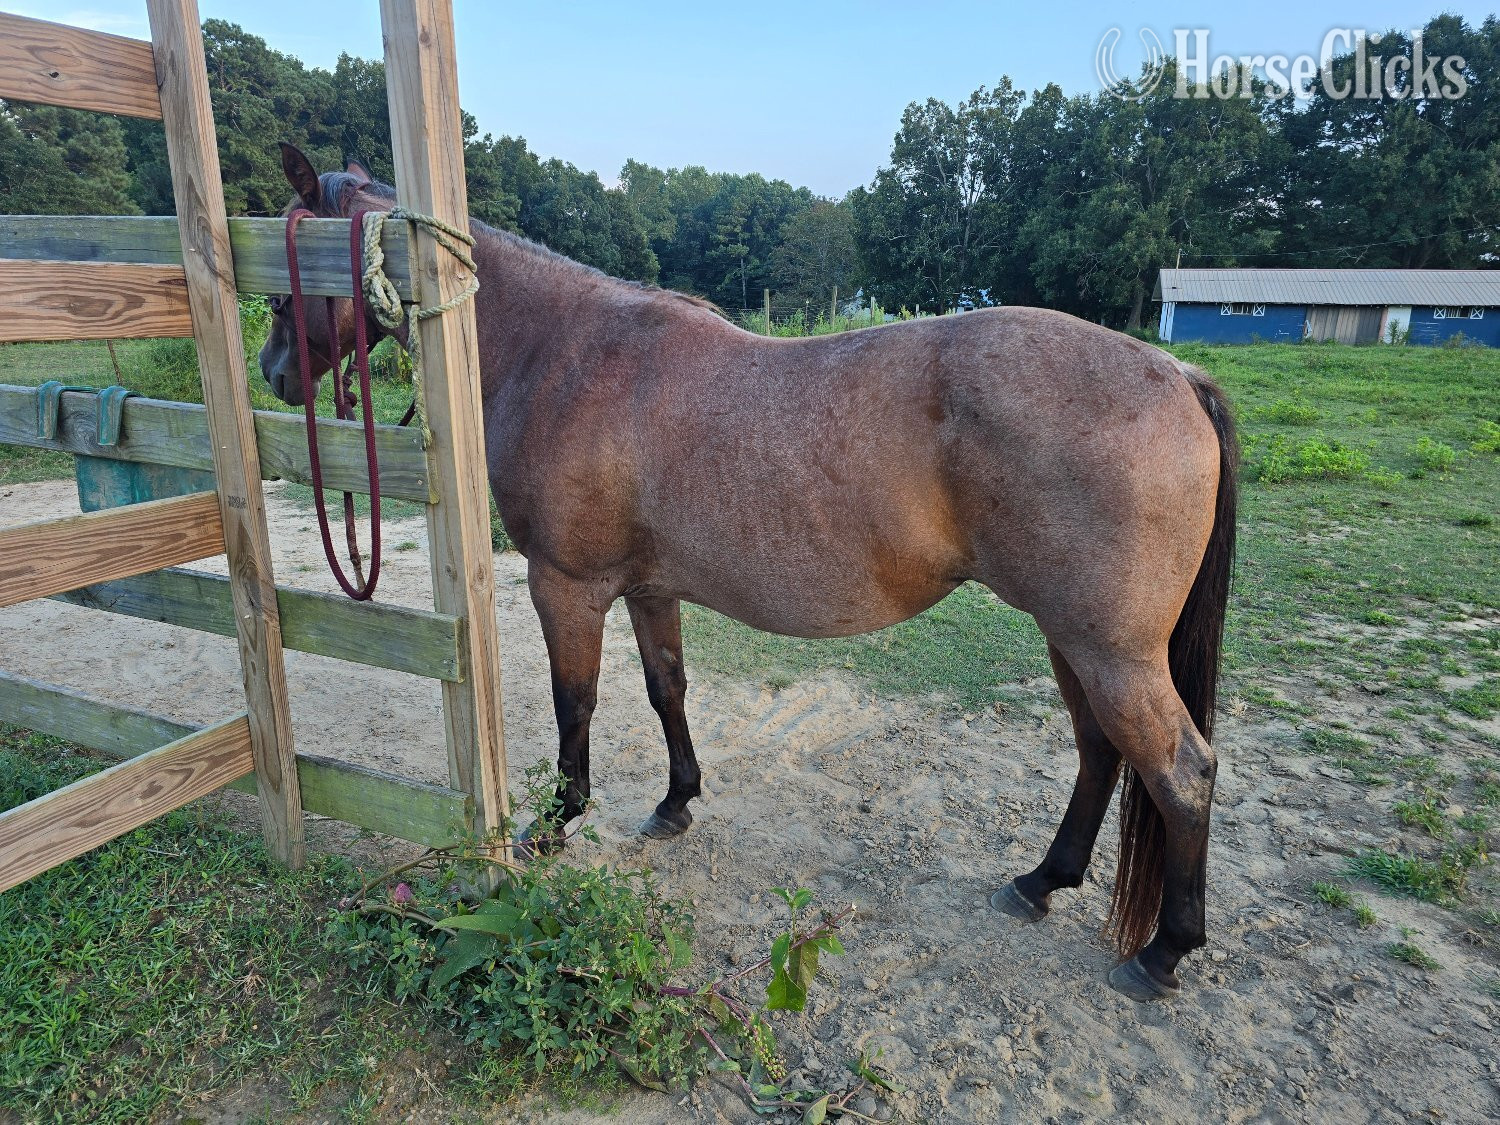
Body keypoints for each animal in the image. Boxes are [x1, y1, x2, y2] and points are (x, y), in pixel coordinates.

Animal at [259, 144, 1238, 1002]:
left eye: (282, 277)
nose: (273, 375)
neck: (567, 352)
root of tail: (1177, 372)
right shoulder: (650, 588)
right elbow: (666, 688)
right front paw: (676, 801)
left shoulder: (566, 584)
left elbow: (576, 702)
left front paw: (557, 822)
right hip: (1072, 638)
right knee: (1101, 751)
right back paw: (1042, 881)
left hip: (1110, 650)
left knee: (1181, 770)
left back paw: (1164, 951)